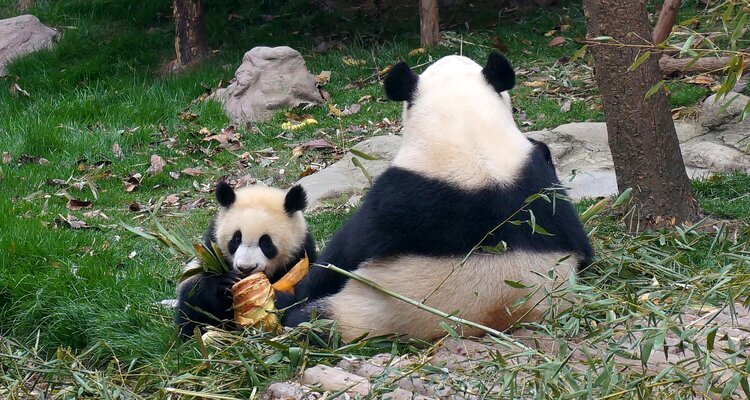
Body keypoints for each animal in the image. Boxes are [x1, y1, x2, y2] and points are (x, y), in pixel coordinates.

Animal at [175, 181, 317, 339]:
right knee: (192, 304)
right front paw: (227, 283)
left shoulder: (302, 250)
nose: (246, 268)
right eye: (236, 239)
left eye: (265, 242)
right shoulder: (212, 248)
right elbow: (209, 286)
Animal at [283, 53, 594, 342]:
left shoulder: (391, 199)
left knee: (308, 320)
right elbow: (582, 247)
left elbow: (339, 258)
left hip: (359, 311)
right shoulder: (540, 182)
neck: (468, 137)